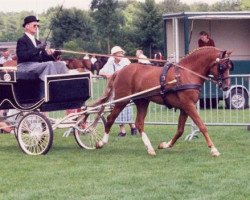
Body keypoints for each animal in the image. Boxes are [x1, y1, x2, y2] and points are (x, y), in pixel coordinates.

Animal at [93, 47, 233, 156]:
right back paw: (101, 142)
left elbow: (180, 130)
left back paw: (150, 148)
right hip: (122, 101)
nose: (227, 87)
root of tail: (120, 71)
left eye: (229, 67)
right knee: (110, 118)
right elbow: (201, 126)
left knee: (139, 123)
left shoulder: (185, 107)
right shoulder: (189, 105)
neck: (186, 73)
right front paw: (213, 149)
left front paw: (165, 145)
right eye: (222, 67)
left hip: (142, 101)